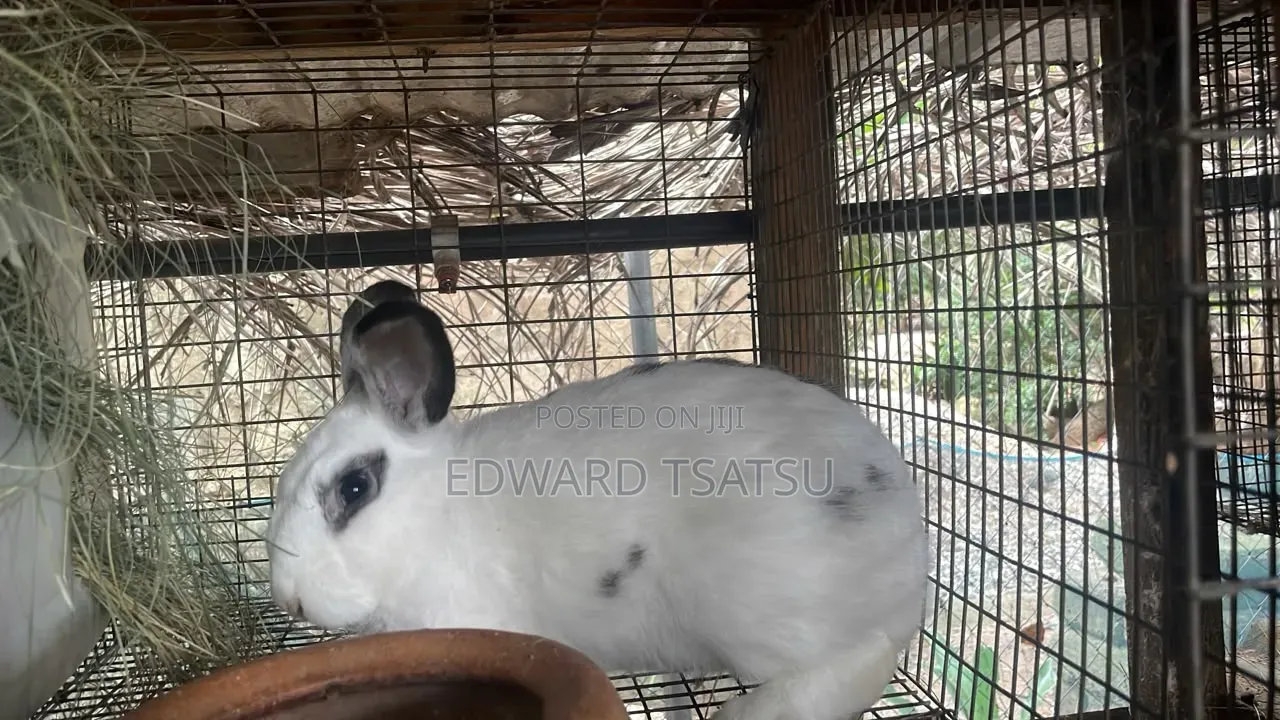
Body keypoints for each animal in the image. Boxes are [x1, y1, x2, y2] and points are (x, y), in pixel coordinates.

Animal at [266, 278, 929, 720]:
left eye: (355, 488)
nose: (289, 599)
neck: (443, 515)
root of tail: (909, 557)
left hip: (762, 605)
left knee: (854, 663)